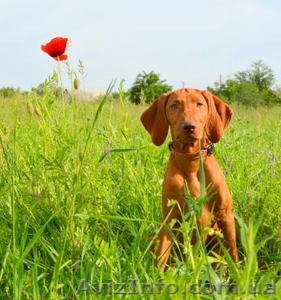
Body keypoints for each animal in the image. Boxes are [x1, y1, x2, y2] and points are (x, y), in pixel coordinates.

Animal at [141, 88, 237, 270]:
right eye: (174, 106)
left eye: (199, 104)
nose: (189, 126)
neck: (190, 159)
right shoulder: (169, 219)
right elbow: (161, 257)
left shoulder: (225, 216)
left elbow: (233, 255)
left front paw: (239, 274)